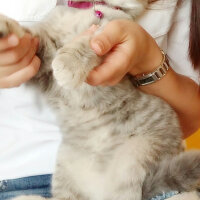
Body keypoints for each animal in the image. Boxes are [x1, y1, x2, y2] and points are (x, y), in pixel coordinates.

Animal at [0, 0, 200, 200]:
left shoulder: (107, 31)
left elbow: (87, 43)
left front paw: (68, 64)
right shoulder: (44, 53)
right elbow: (25, 34)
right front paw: (5, 26)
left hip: (133, 159)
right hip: (65, 168)